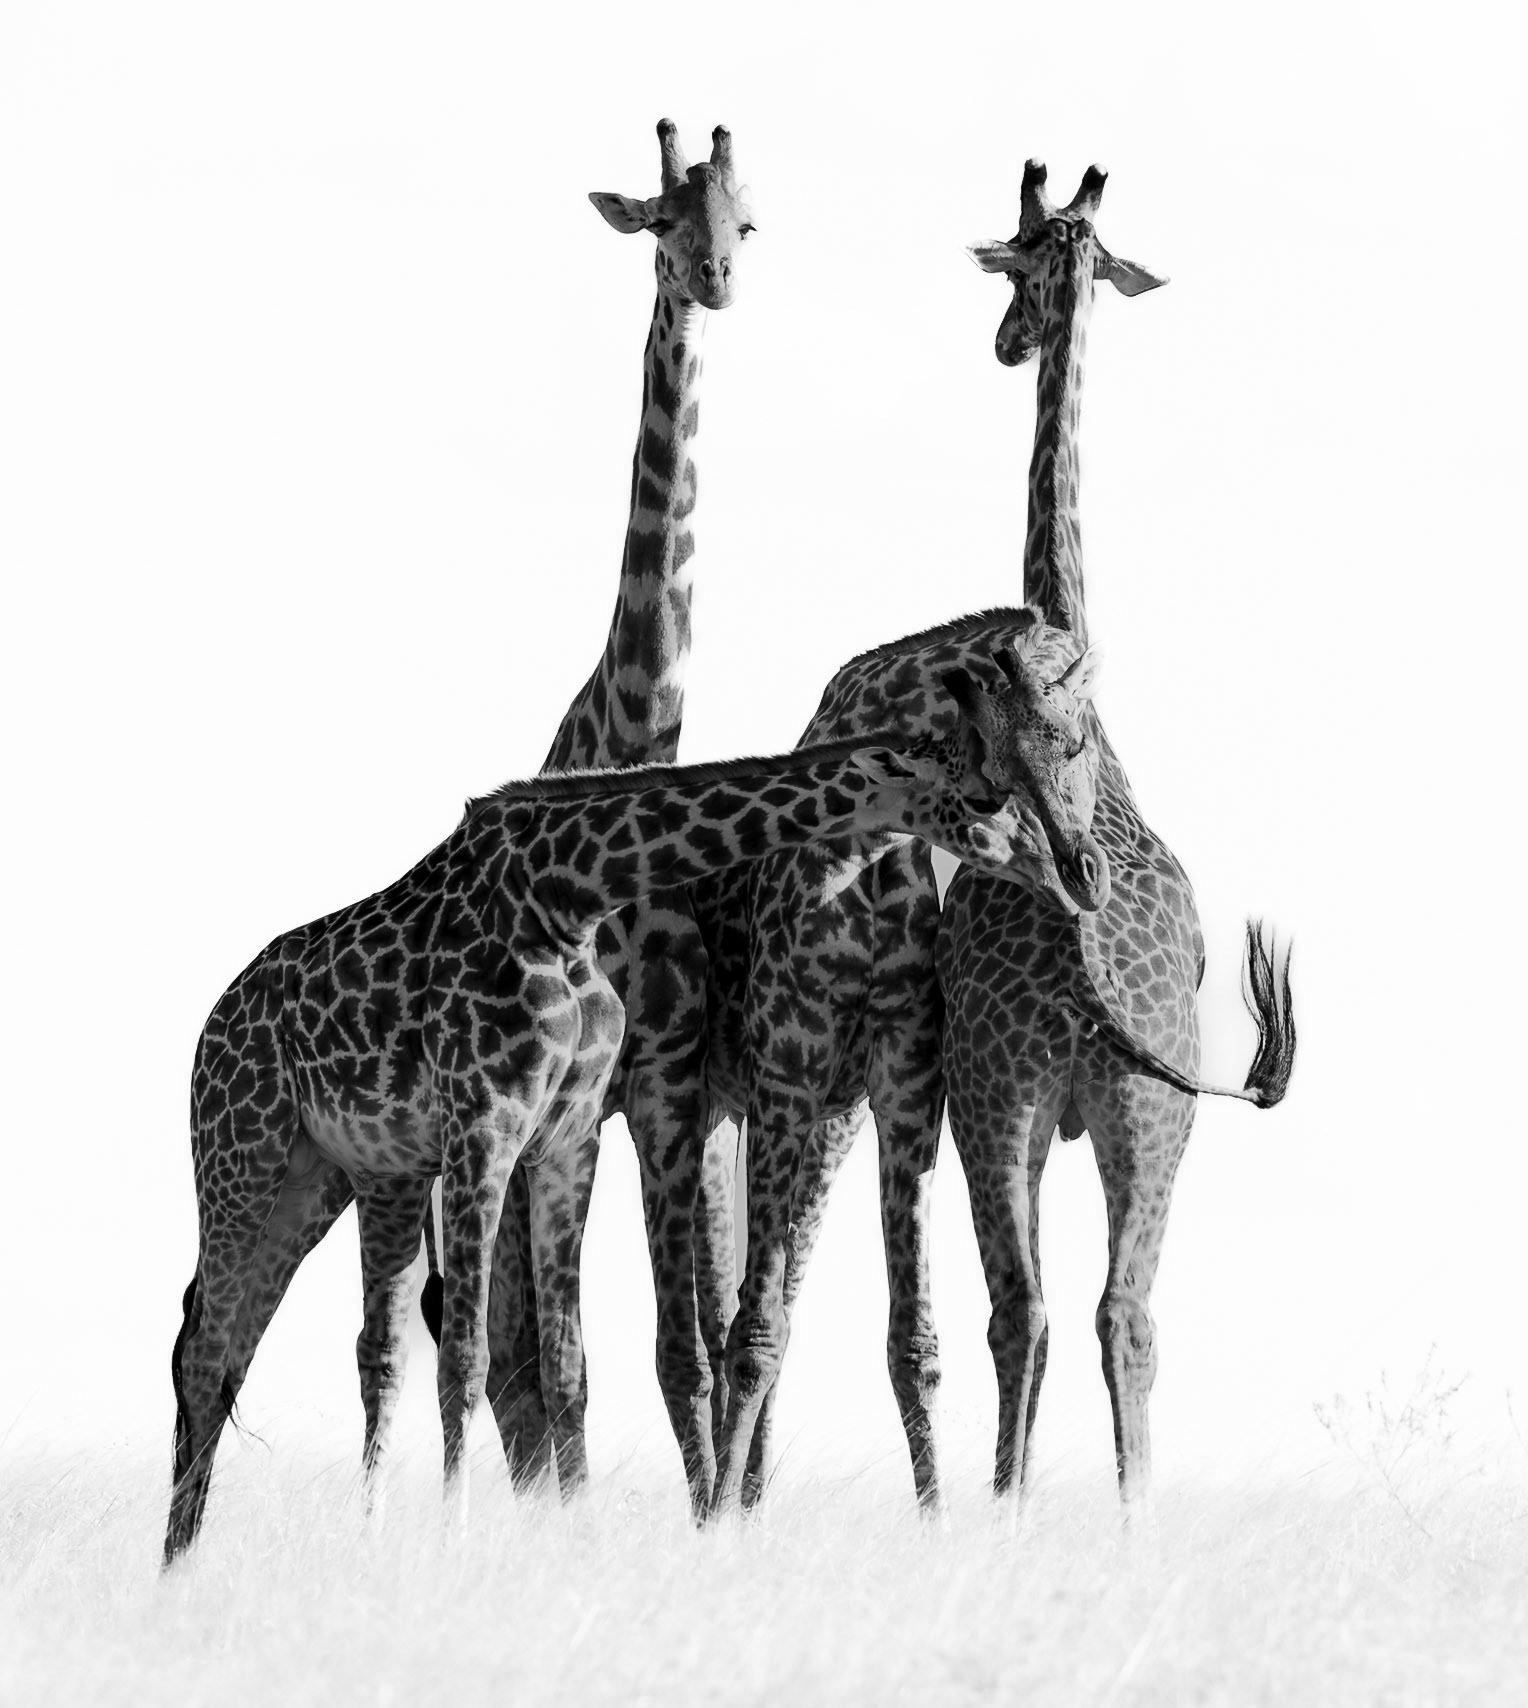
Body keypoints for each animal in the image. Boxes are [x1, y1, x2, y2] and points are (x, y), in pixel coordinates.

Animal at [163, 661, 1112, 1562]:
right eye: (989, 791)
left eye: (1066, 754)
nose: (1082, 873)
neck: (567, 895)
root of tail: (212, 1027)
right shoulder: (484, 1124)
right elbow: (468, 1354)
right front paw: (453, 1542)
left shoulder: (565, 1139)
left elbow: (566, 1363)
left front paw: (573, 1543)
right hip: (242, 1153)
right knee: (208, 1346)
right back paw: (179, 1565)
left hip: (333, 1176)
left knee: (270, 1347)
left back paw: (204, 1552)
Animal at [207, 120, 754, 1518]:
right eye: (661, 218)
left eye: (747, 218)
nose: (715, 278)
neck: (635, 732)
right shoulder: (561, 1109)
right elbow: (554, 1361)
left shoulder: (657, 1091)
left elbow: (662, 1348)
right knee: (500, 1350)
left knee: (696, 1328)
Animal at [936, 160, 1295, 1521]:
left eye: (1020, 256)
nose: (1000, 341)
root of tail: (1091, 973)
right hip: (1146, 1111)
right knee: (1118, 1310)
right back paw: (1130, 1518)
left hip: (1002, 1098)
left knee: (1029, 1307)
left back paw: (1010, 1506)